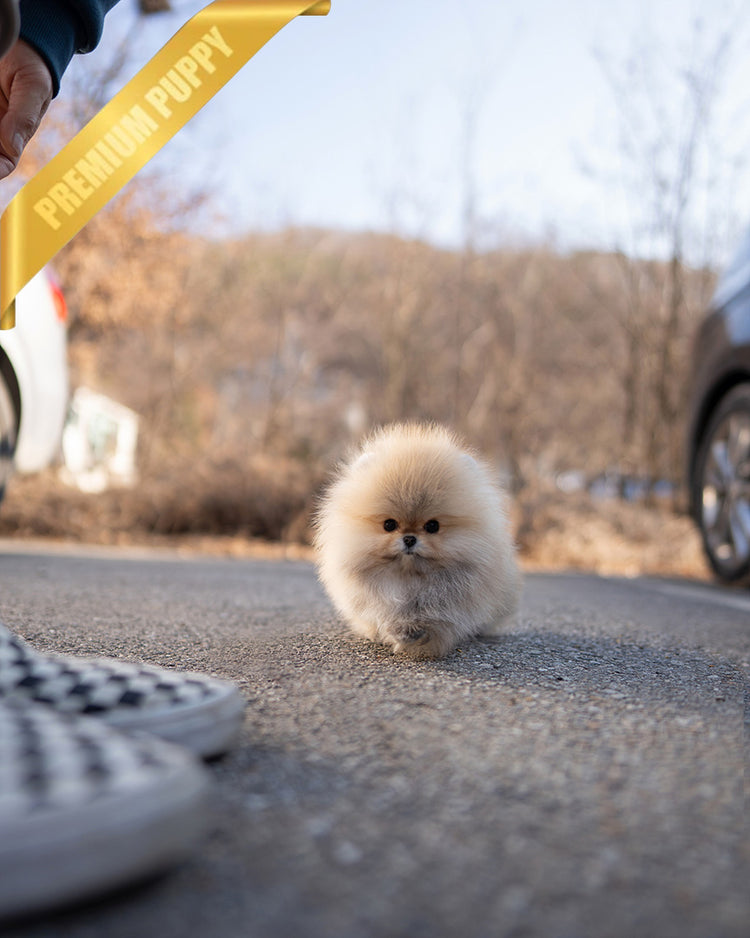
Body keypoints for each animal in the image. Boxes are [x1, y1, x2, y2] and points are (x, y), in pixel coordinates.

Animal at [314, 424, 520, 660]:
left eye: (432, 526)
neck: (409, 580)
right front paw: (399, 630)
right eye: (389, 525)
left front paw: (415, 632)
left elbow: (438, 622)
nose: (410, 538)